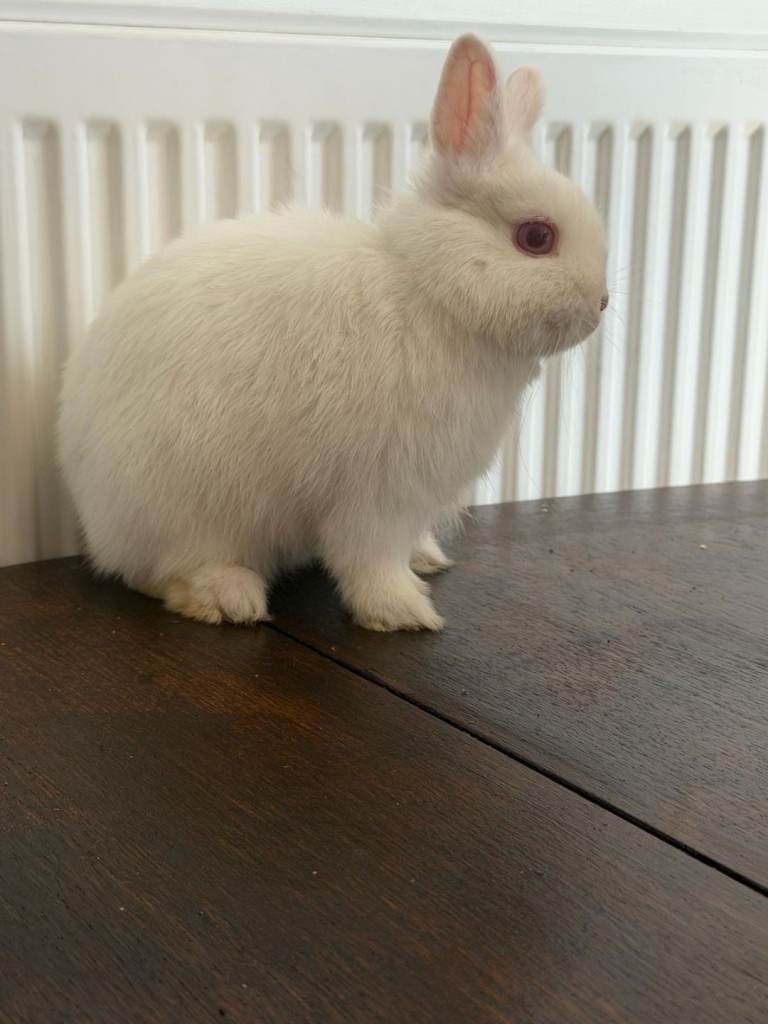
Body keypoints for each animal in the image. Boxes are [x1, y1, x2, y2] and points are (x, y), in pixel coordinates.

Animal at [58, 34, 608, 632]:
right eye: (536, 237)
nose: (602, 303)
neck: (430, 291)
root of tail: (94, 518)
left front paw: (420, 569)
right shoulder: (380, 492)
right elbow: (370, 560)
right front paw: (404, 613)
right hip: (188, 508)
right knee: (162, 573)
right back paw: (230, 598)